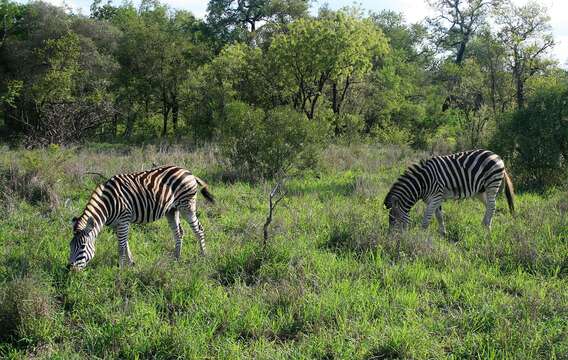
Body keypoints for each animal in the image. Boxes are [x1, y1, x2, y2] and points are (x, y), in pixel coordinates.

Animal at [67, 166, 214, 270]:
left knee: (199, 230)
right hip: (172, 210)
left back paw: (204, 256)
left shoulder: (124, 220)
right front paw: (131, 263)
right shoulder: (116, 224)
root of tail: (188, 172)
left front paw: (120, 269)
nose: (70, 269)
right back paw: (176, 258)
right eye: (70, 246)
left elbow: (121, 246)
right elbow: (125, 243)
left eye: (83, 246)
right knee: (178, 233)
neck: (108, 205)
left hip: (187, 206)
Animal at [386, 148, 516, 235]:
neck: (423, 182)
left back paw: (487, 227)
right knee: (489, 205)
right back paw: (484, 225)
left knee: (492, 205)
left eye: (393, 219)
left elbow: (427, 217)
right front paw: (443, 233)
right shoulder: (434, 199)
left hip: (492, 184)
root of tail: (497, 155)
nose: (391, 239)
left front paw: (421, 234)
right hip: (480, 190)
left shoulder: (436, 196)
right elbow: (439, 215)